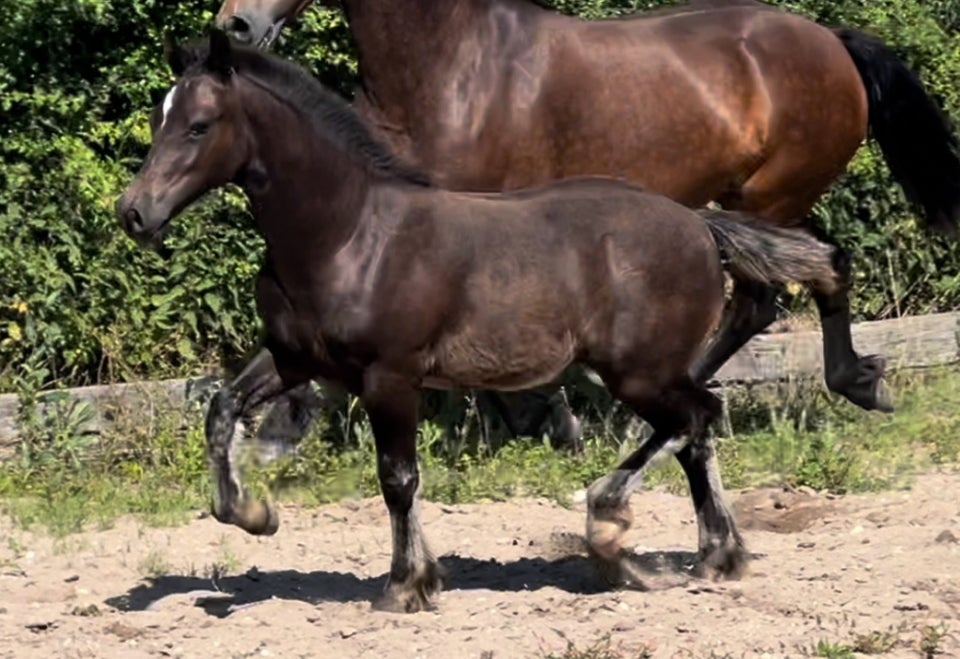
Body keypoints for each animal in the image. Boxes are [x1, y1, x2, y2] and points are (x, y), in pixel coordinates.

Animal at [116, 33, 844, 612]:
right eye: (159, 118)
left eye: (199, 124)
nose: (135, 213)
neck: (349, 234)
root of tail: (699, 224)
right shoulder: (299, 359)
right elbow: (222, 410)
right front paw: (254, 514)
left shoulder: (390, 375)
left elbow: (397, 476)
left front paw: (406, 585)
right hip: (652, 370)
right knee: (696, 429)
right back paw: (717, 555)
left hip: (639, 370)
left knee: (695, 418)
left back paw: (612, 526)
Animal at [216, 0, 960, 434]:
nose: (235, 22)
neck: (452, 64)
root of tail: (830, 40)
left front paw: (552, 420)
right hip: (776, 203)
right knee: (826, 263)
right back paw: (858, 381)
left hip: (767, 197)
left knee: (759, 298)